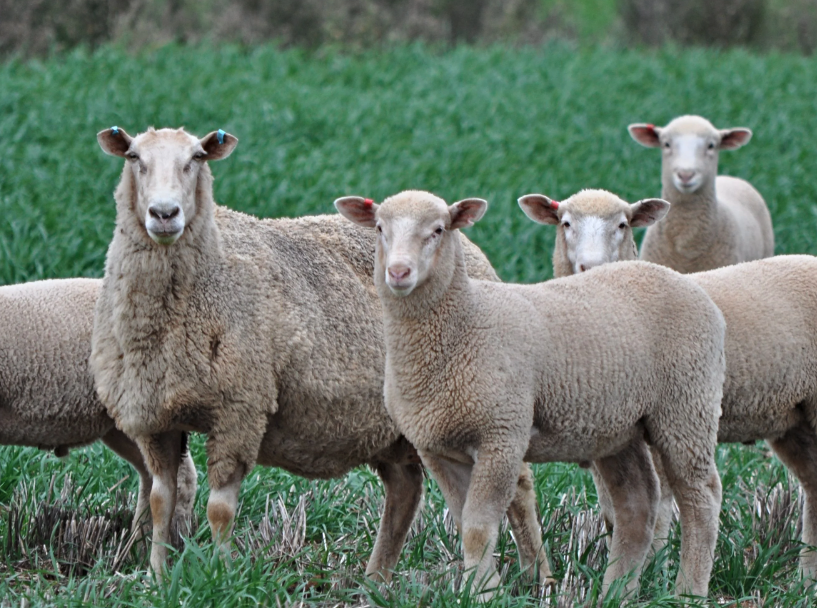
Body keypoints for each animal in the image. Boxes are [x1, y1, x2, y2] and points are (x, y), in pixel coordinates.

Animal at [91, 126, 556, 588]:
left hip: (481, 405)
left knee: (519, 486)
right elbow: (160, 500)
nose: (164, 214)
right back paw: (376, 579)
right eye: (134, 157)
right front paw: (156, 576)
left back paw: (538, 576)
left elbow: (219, 509)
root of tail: (474, 252)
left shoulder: (239, 409)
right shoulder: (154, 417)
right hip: (392, 427)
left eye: (197, 158)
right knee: (405, 488)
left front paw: (221, 574)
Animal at [334, 190, 724, 600]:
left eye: (438, 230)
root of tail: (686, 284)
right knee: (638, 502)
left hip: (686, 406)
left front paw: (485, 595)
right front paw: (479, 588)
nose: (398, 272)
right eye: (380, 228)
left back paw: (689, 592)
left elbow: (478, 528)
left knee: (701, 496)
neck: (464, 323)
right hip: (618, 428)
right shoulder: (437, 447)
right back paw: (615, 592)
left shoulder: (501, 437)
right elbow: (464, 523)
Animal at [520, 190, 817, 580]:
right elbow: (613, 508)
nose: (591, 265)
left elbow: (658, 506)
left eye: (623, 225)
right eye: (565, 223)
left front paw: (651, 571)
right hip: (791, 417)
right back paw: (807, 579)